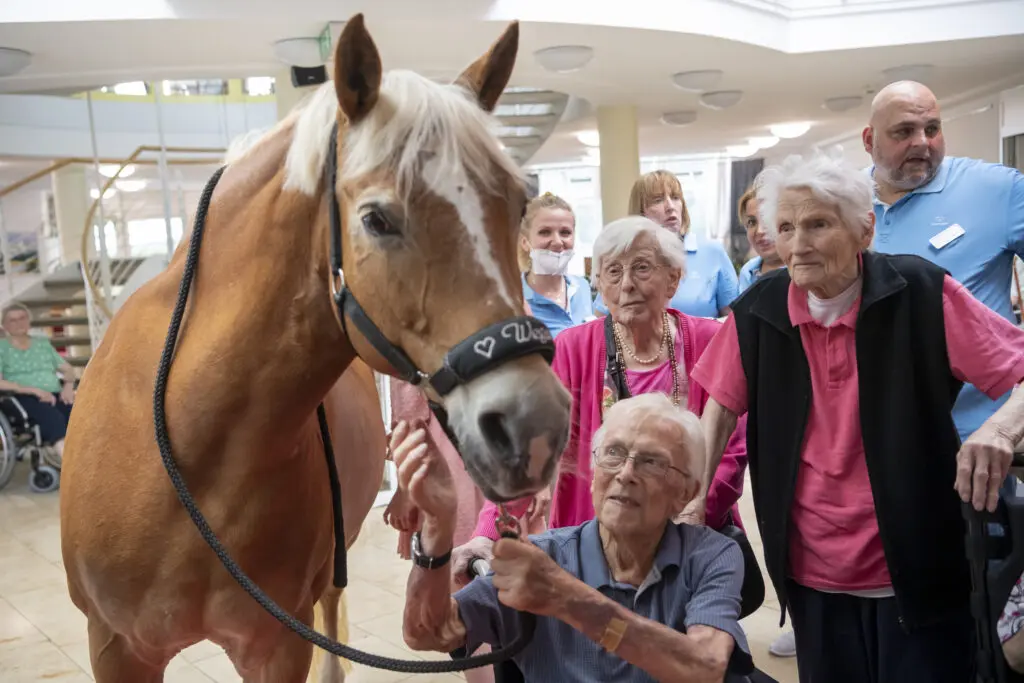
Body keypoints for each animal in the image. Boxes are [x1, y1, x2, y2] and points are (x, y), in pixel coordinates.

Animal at [59, 15, 573, 683]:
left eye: (515, 205)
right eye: (377, 219)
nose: (534, 426)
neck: (187, 452)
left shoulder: (279, 644)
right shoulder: (116, 647)